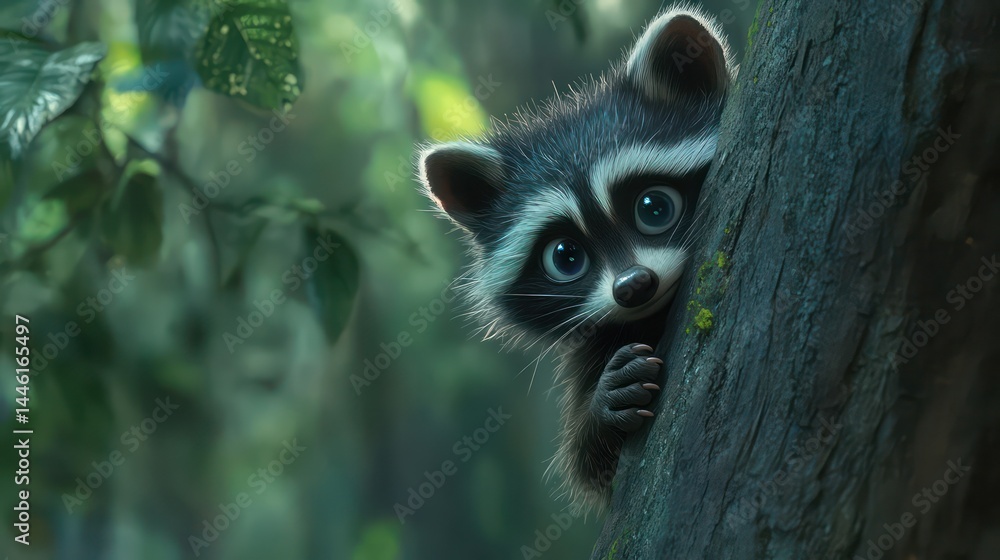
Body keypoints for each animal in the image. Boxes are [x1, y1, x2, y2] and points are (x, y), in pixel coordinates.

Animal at [416, 6, 736, 513]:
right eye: (565, 257)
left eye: (654, 208)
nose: (632, 285)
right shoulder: (593, 348)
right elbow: (592, 472)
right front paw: (601, 411)